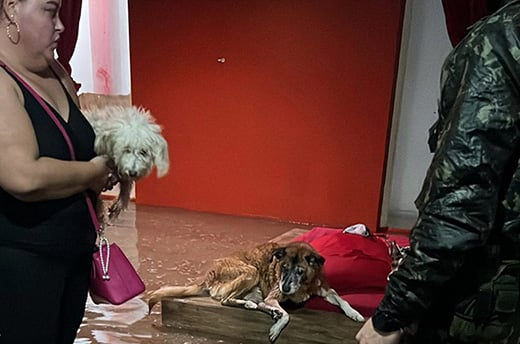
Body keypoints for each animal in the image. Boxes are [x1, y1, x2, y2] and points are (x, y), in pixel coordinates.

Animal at [148, 241, 364, 342]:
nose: (285, 287)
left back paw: (259, 307)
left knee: (254, 303)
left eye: (300, 271)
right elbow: (287, 316)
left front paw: (355, 314)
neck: (304, 285)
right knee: (226, 300)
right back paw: (258, 307)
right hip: (251, 273)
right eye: (283, 267)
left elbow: (342, 300)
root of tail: (208, 276)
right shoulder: (274, 295)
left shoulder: (325, 289)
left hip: (256, 288)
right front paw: (276, 329)